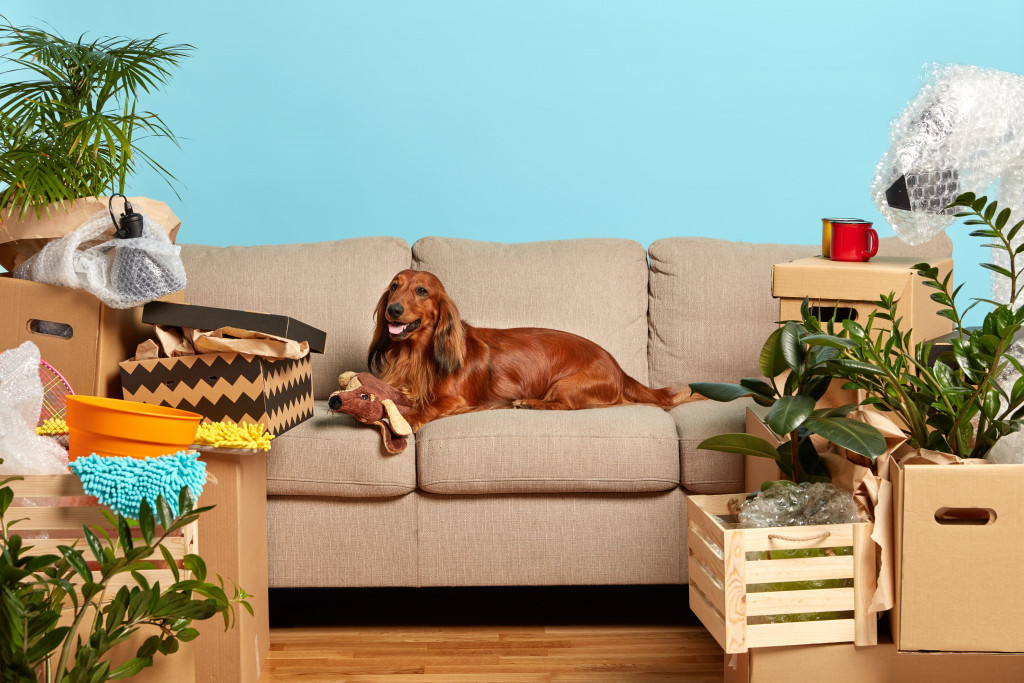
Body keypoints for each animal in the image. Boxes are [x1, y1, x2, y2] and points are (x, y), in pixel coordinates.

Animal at [368, 270, 696, 430]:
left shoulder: (457, 399)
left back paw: (530, 403)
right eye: (394, 286)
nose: (393, 310)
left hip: (566, 384)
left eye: (422, 290)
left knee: (566, 406)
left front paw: (408, 419)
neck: (416, 356)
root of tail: (620, 369)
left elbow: (428, 406)